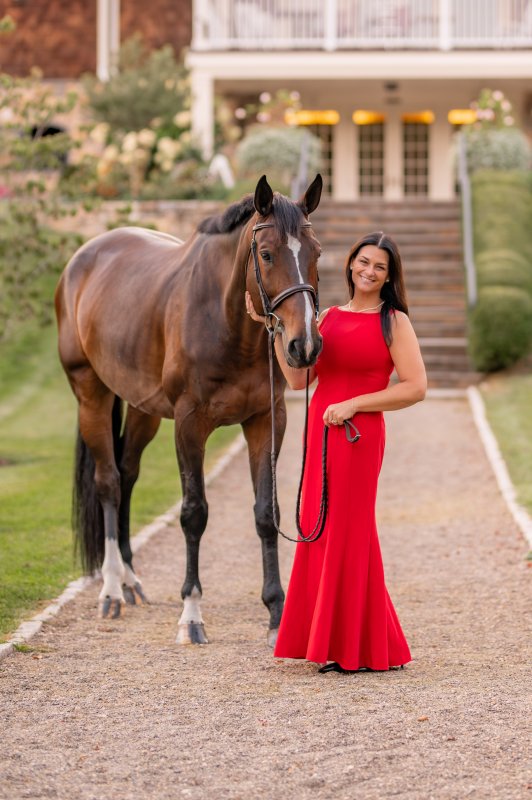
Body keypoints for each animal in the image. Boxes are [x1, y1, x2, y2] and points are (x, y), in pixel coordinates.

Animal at [55, 174, 323, 646]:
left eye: (317, 252)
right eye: (267, 254)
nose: (303, 345)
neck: (225, 320)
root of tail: (82, 259)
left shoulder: (266, 421)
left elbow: (266, 513)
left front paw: (276, 611)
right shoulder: (189, 425)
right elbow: (194, 513)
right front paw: (192, 614)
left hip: (142, 410)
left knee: (127, 474)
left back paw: (130, 580)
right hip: (91, 394)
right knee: (108, 482)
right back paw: (111, 589)